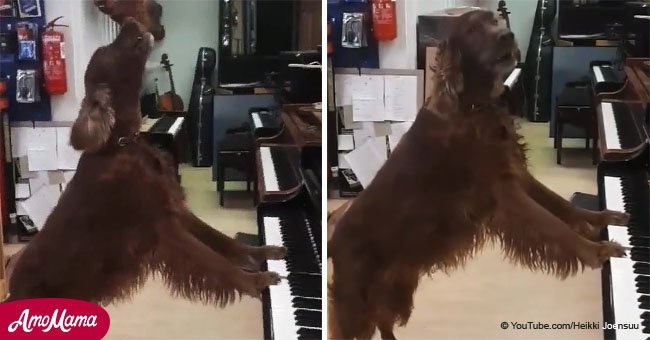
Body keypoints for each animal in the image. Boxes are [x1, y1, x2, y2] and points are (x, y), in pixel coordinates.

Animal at [5, 17, 282, 306]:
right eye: (109, 49)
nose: (128, 20)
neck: (124, 145)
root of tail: (13, 291)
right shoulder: (161, 227)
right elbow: (217, 262)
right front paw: (257, 281)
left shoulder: (174, 210)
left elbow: (222, 241)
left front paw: (263, 252)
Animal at [330, 9, 628, 338]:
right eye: (473, 30)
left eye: (496, 20)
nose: (508, 35)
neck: (475, 107)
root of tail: (333, 236)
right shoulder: (502, 191)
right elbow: (554, 224)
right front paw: (597, 251)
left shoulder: (516, 174)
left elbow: (563, 207)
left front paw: (603, 219)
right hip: (357, 304)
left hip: (397, 284)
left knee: (384, 320)